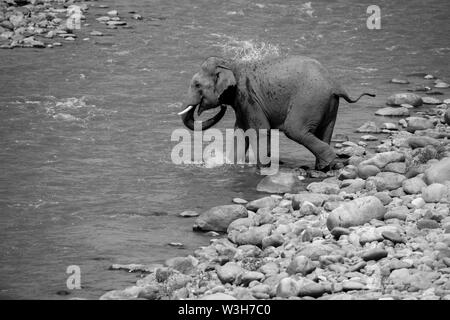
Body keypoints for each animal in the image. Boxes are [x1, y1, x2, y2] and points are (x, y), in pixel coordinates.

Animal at [178, 55, 374, 170]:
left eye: (197, 84)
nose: (222, 108)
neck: (232, 64)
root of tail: (335, 84)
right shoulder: (242, 102)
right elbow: (240, 131)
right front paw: (232, 163)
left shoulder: (248, 96)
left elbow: (260, 130)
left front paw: (263, 167)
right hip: (330, 104)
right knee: (326, 130)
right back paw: (323, 167)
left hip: (308, 100)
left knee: (294, 130)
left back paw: (329, 161)